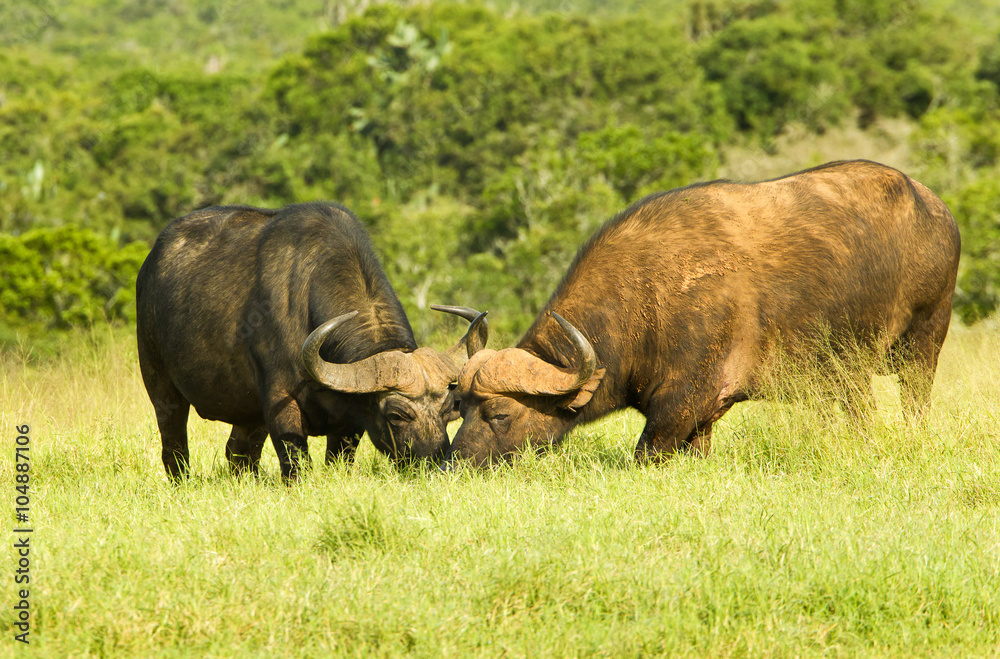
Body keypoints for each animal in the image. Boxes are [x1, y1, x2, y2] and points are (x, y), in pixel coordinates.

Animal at [137, 201, 487, 480]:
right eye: (396, 415)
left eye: (447, 410)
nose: (433, 463)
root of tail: (149, 266)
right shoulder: (280, 402)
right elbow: (295, 464)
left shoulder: (349, 421)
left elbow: (339, 458)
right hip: (160, 384)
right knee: (174, 446)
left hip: (249, 411)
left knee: (240, 453)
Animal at [448, 160, 960, 466]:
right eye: (460, 407)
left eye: (498, 413)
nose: (456, 463)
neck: (645, 296)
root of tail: (935, 207)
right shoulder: (702, 417)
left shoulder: (681, 405)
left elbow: (645, 453)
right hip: (846, 371)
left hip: (924, 344)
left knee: (915, 401)